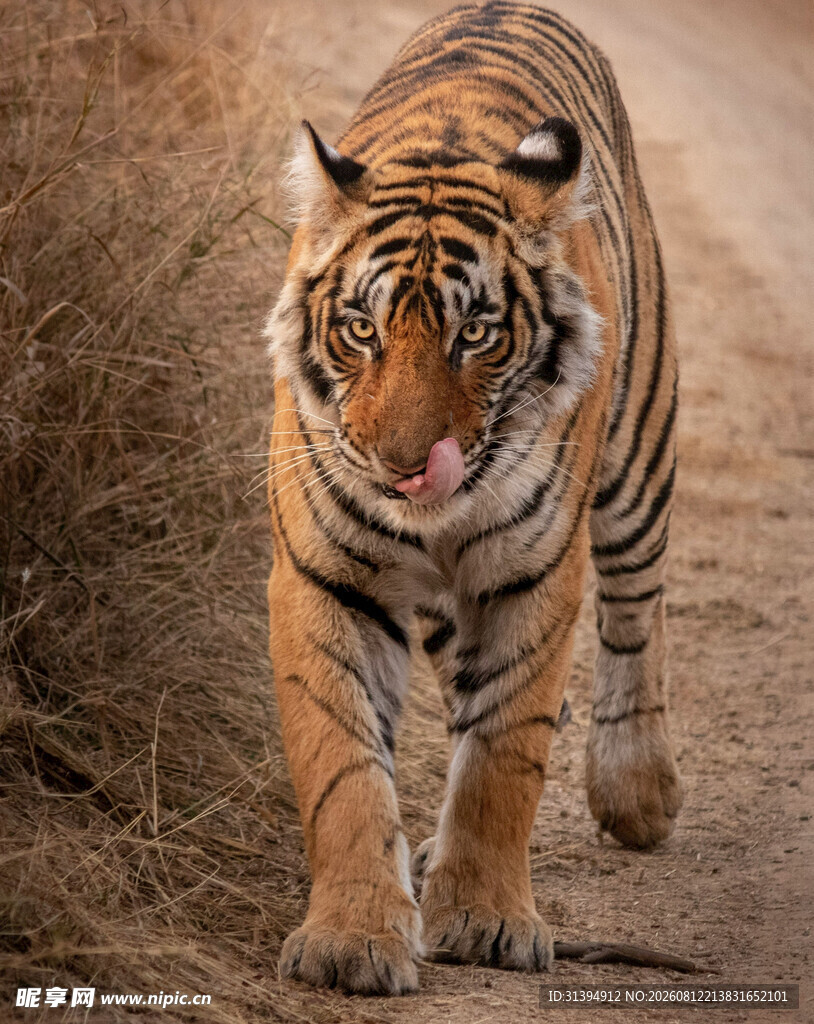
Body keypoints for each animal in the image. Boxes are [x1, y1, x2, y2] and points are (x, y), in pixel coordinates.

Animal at [264, 0, 683, 996]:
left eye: (478, 335)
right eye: (361, 329)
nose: (407, 466)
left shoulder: (534, 576)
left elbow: (502, 756)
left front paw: (487, 919)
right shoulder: (324, 577)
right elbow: (342, 767)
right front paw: (351, 938)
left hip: (639, 450)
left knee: (637, 606)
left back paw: (637, 788)